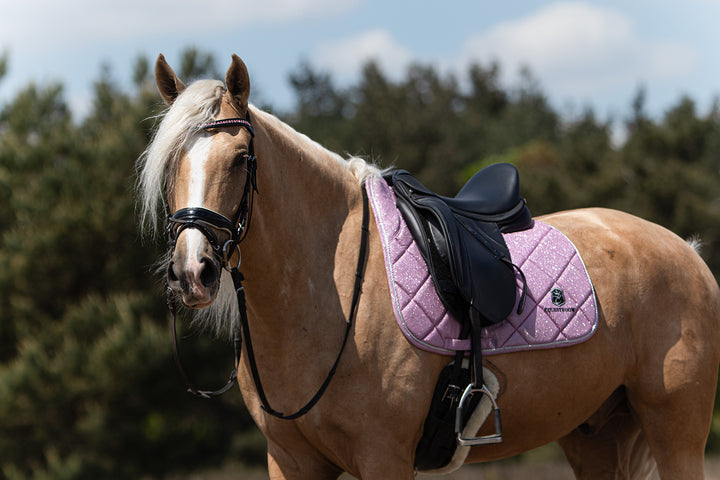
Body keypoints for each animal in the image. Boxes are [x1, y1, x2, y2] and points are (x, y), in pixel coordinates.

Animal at [138, 54, 720, 478]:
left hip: (676, 434)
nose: (194, 273)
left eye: (241, 158)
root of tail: (687, 252)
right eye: (169, 163)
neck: (330, 291)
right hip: (595, 435)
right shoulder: (291, 461)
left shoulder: (384, 457)